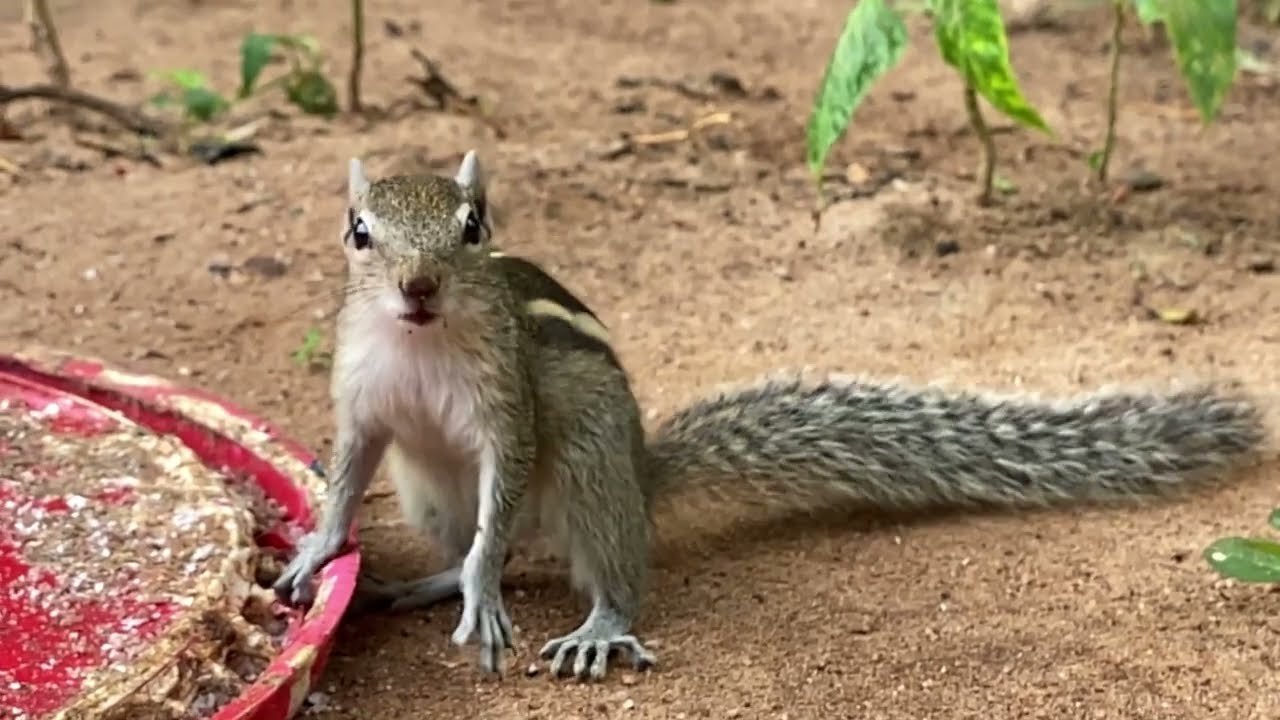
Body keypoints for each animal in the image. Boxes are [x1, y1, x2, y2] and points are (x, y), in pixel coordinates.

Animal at [273, 149, 1267, 682]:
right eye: (359, 231)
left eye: (473, 226)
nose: (419, 286)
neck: (421, 346)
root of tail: (643, 474)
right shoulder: (366, 410)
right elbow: (347, 478)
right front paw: (320, 554)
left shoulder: (506, 411)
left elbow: (505, 485)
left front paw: (479, 597)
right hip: (429, 490)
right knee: (494, 540)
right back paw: (432, 582)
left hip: (591, 465)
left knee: (589, 562)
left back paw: (598, 627)